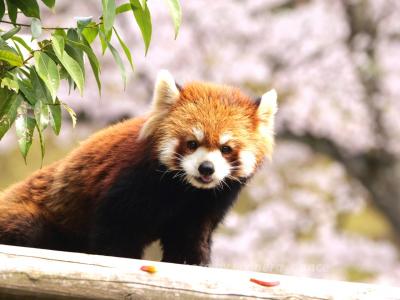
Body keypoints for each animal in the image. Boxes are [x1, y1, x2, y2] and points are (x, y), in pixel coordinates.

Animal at [0, 70, 276, 264]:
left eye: (226, 149)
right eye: (191, 143)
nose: (206, 168)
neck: (184, 189)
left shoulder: (206, 203)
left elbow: (190, 236)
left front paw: (192, 262)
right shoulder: (131, 182)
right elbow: (116, 231)